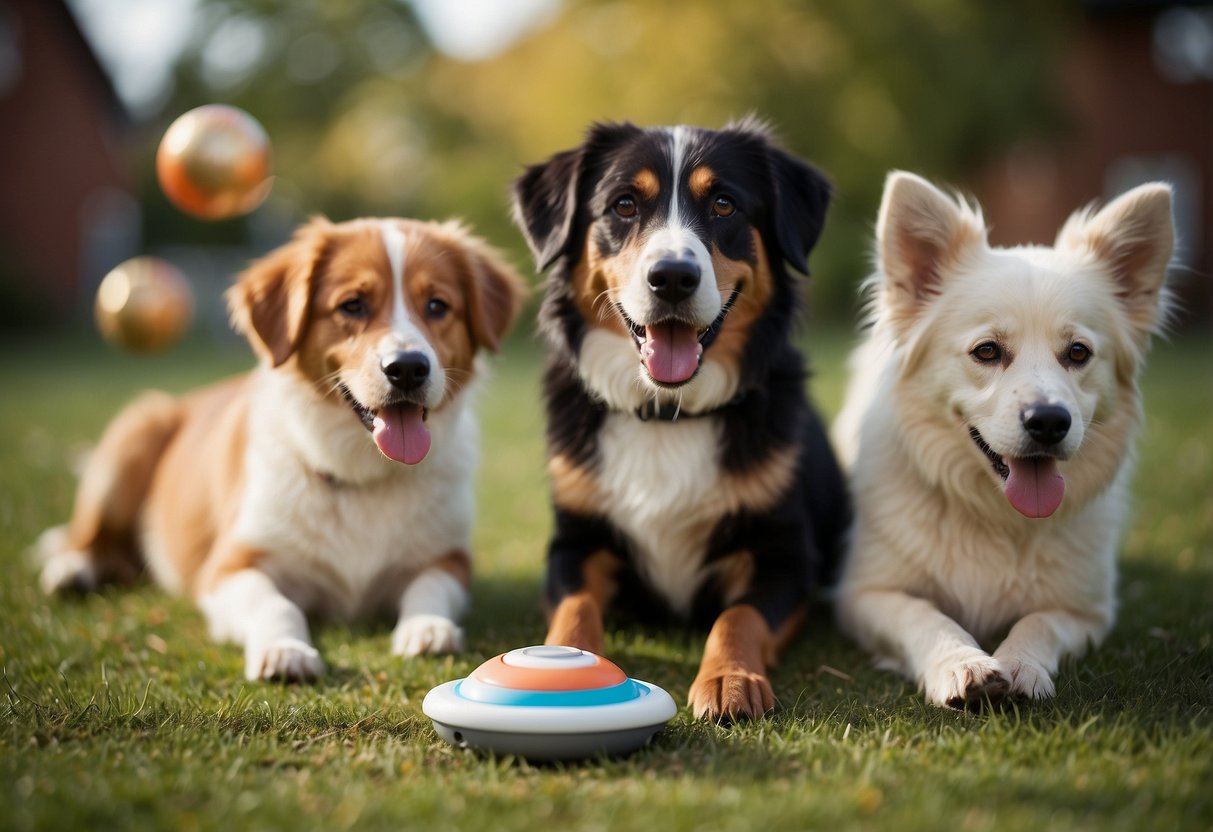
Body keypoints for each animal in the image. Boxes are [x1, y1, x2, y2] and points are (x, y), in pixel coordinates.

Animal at [36, 218, 521, 679]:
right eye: (353, 305)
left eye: (437, 306)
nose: (407, 368)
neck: (360, 474)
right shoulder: (229, 567)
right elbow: (277, 605)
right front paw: (285, 650)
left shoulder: (449, 559)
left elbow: (430, 587)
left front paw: (428, 628)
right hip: (136, 428)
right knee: (91, 536)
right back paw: (70, 569)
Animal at [507, 118, 849, 722]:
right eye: (623, 204)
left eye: (723, 204)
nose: (672, 278)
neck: (666, 417)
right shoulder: (573, 543)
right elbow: (575, 608)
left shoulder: (785, 555)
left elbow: (738, 616)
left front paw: (729, 679)